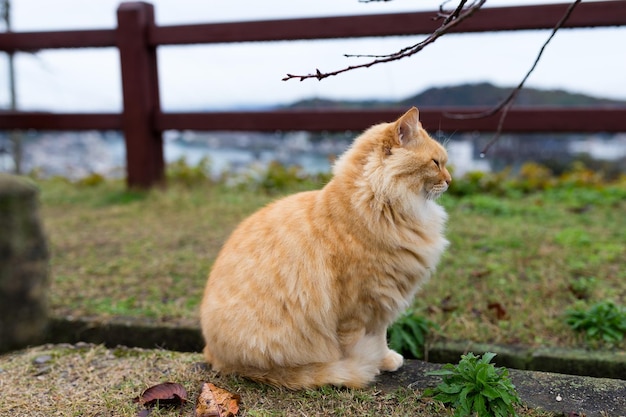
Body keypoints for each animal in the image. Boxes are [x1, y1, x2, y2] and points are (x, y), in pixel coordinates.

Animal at [200, 106, 448, 386]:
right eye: (436, 163)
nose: (450, 180)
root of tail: (212, 353)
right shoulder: (358, 307)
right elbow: (356, 346)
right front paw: (365, 365)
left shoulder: (381, 302)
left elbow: (380, 337)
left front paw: (384, 359)